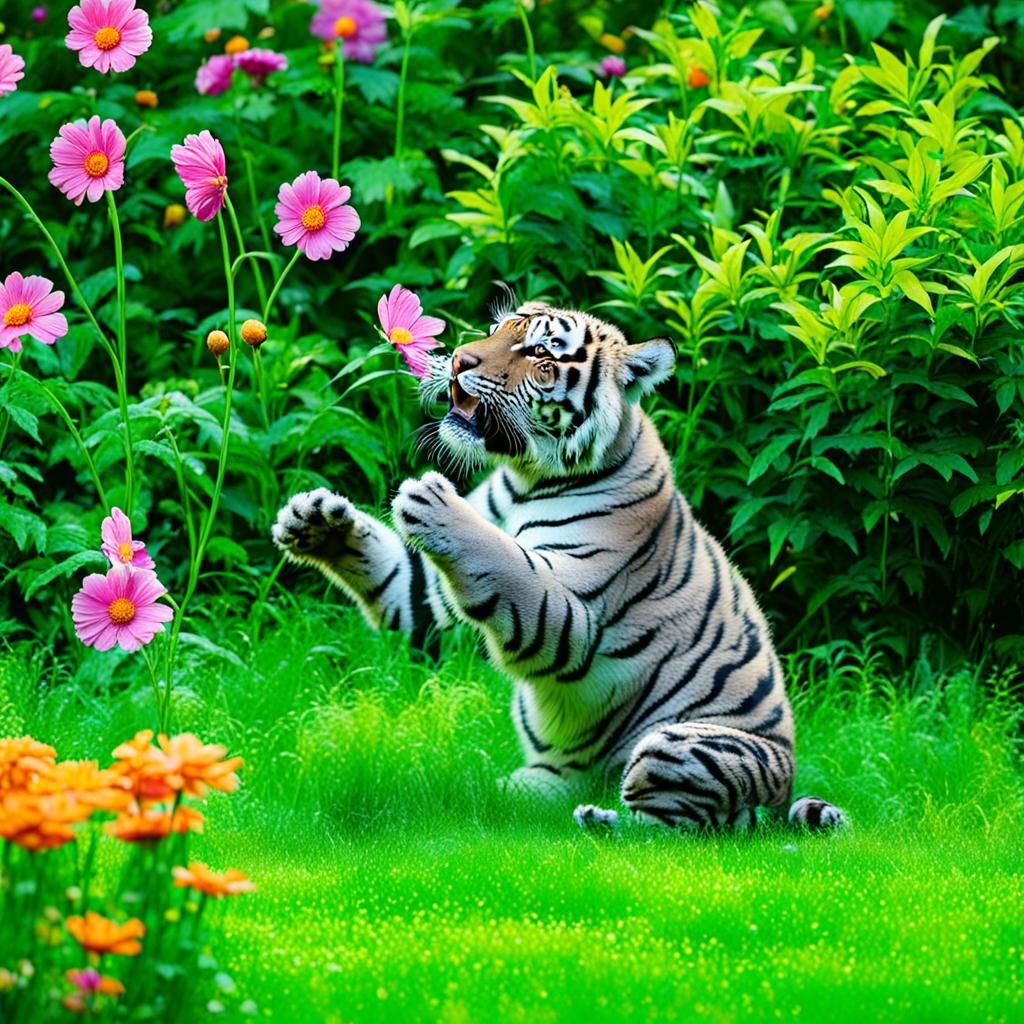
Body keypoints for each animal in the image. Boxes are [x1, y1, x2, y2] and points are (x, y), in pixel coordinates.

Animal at [272, 301, 846, 833]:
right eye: (498, 329)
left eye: (542, 357)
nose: (458, 360)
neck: (526, 477)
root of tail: (782, 796)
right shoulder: (429, 595)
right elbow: (396, 574)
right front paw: (315, 519)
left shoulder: (578, 618)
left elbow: (509, 563)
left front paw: (433, 500)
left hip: (680, 745)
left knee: (671, 831)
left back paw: (601, 822)